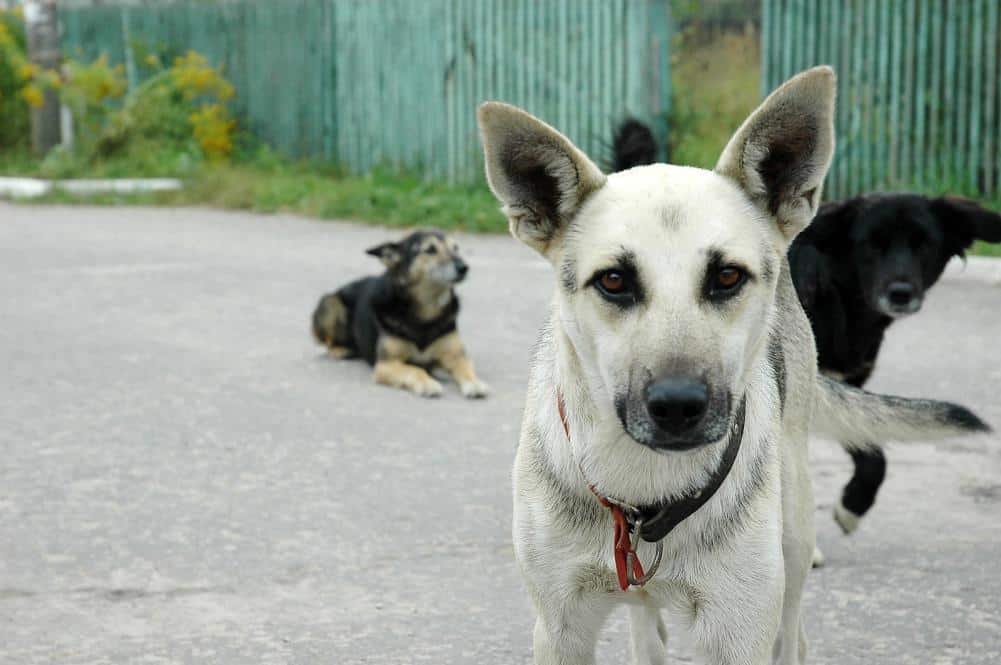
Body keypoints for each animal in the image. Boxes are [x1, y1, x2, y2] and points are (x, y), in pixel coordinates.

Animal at [308, 228, 488, 396]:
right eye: (430, 249)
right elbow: (415, 369)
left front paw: (474, 383)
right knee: (328, 342)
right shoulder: (386, 365)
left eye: (456, 248)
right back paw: (341, 350)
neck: (426, 312)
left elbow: (465, 367)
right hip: (330, 303)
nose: (464, 267)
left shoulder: (455, 355)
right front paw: (427, 383)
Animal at [474, 68, 984, 664]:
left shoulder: (737, 630)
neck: (645, 494)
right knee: (646, 629)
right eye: (614, 281)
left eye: (727, 277)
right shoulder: (559, 628)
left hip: (792, 534)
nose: (678, 406)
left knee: (793, 629)